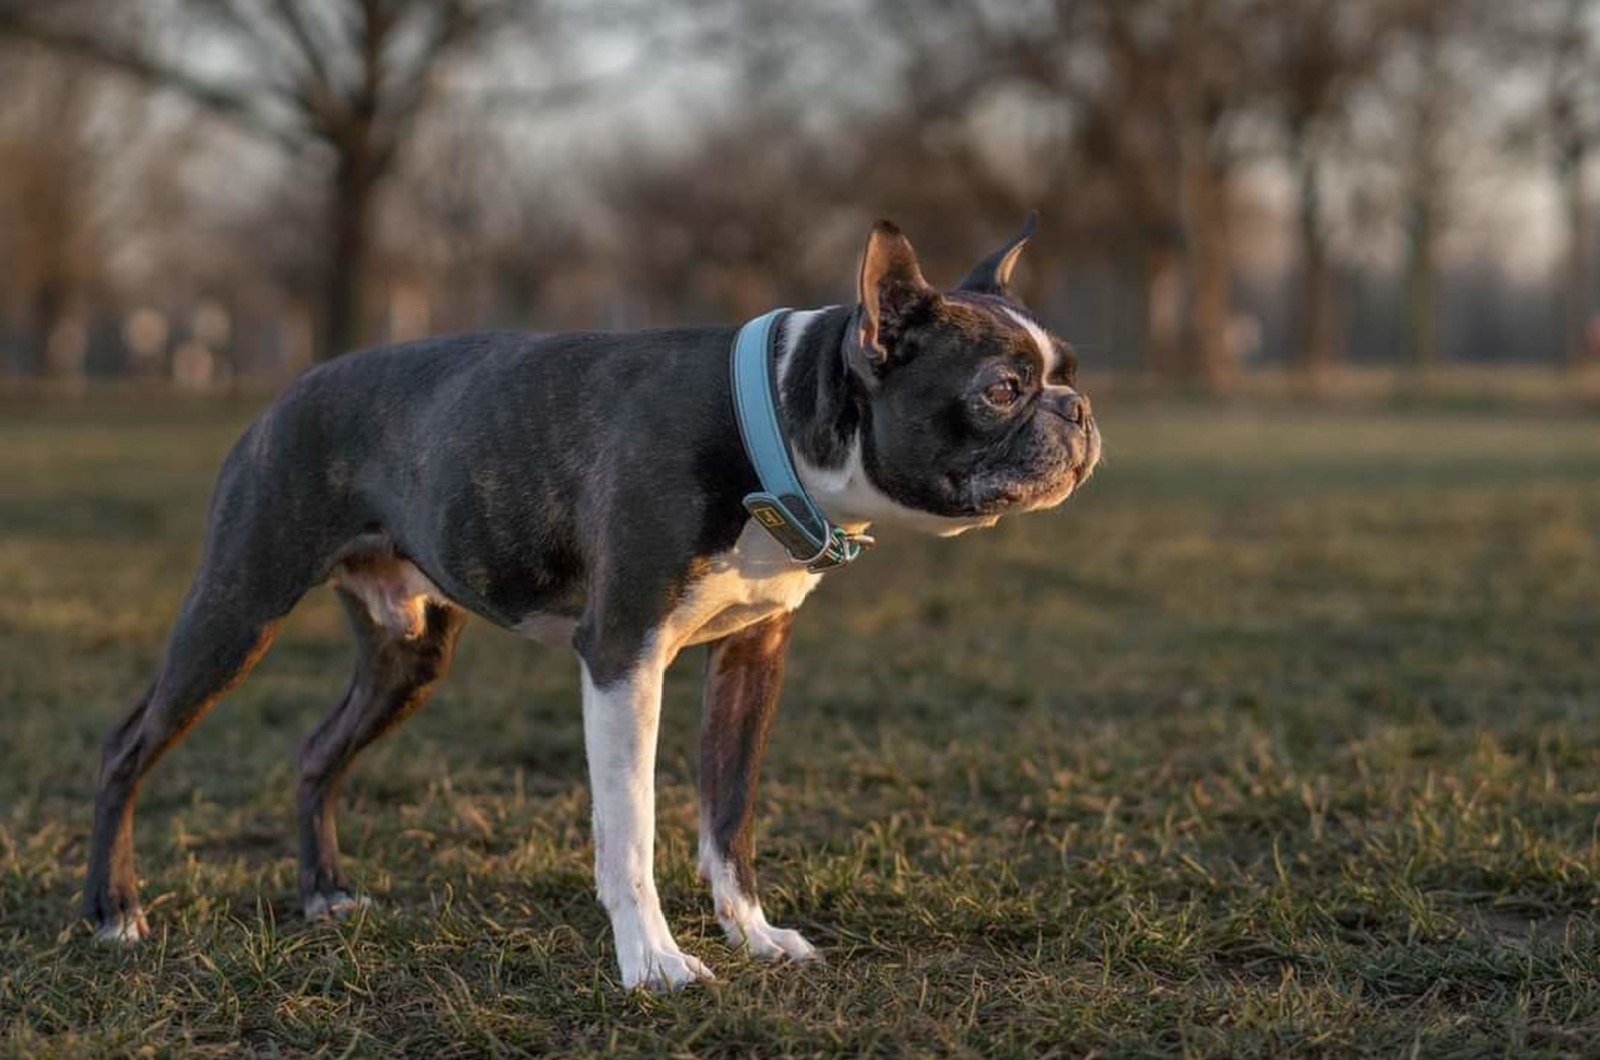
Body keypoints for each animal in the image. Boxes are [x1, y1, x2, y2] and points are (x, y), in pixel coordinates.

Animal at [84, 216, 1100, 999]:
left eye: (1067, 374)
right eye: (1001, 390)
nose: (1078, 411)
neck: (769, 421)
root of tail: (286, 392)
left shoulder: (751, 656)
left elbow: (729, 818)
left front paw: (753, 935)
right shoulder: (622, 655)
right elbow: (632, 831)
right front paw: (653, 963)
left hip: (409, 652)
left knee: (315, 751)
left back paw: (324, 894)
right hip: (238, 607)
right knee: (127, 744)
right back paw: (113, 911)